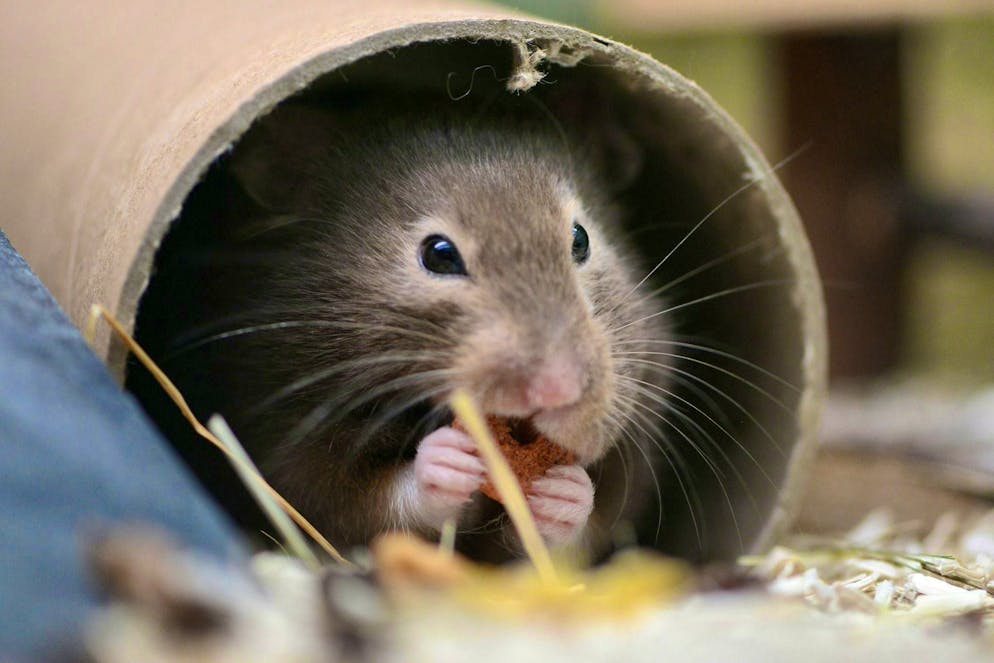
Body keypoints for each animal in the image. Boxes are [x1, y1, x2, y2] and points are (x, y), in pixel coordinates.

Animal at [137, 101, 670, 563]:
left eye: (580, 239)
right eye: (438, 254)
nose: (556, 390)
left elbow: (580, 531)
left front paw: (563, 491)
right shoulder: (286, 447)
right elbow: (377, 507)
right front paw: (451, 460)